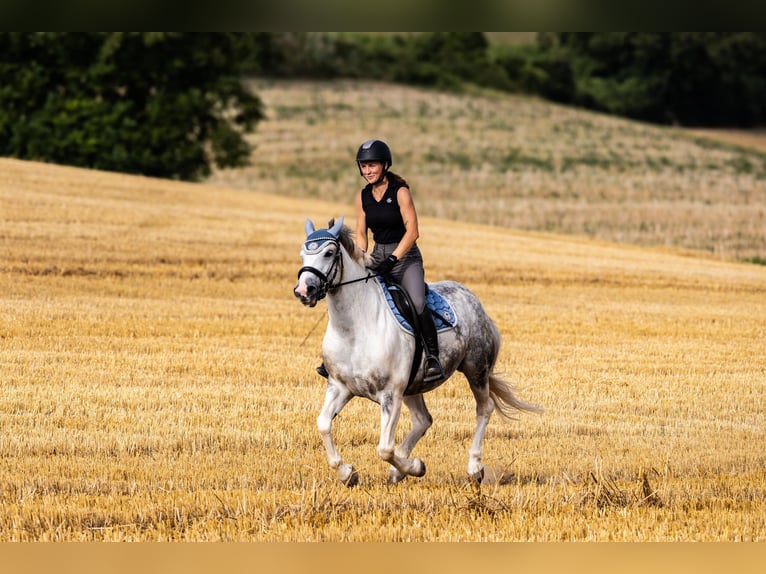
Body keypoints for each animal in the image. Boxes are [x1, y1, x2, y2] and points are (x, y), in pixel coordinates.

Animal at [293, 217, 541, 486]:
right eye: (303, 255)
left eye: (328, 253)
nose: (304, 291)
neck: (354, 329)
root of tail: (474, 300)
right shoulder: (340, 387)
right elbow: (323, 424)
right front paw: (347, 472)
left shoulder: (390, 393)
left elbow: (384, 448)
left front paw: (416, 466)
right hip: (414, 385)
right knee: (424, 419)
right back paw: (400, 470)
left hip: (476, 369)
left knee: (484, 409)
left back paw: (474, 468)